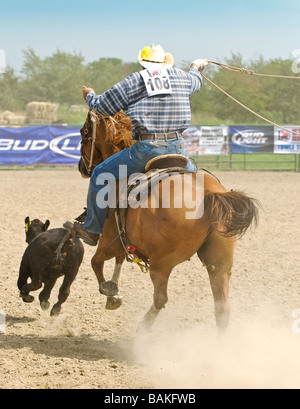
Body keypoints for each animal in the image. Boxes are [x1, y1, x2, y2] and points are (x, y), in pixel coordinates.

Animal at [78, 109, 258, 332]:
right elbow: (118, 261)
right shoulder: (122, 240)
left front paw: (110, 293)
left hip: (161, 264)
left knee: (160, 299)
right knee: (222, 308)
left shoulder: (109, 239)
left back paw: (142, 330)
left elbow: (95, 262)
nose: (81, 167)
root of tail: (208, 194)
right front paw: (113, 291)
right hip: (220, 262)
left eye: (84, 132)